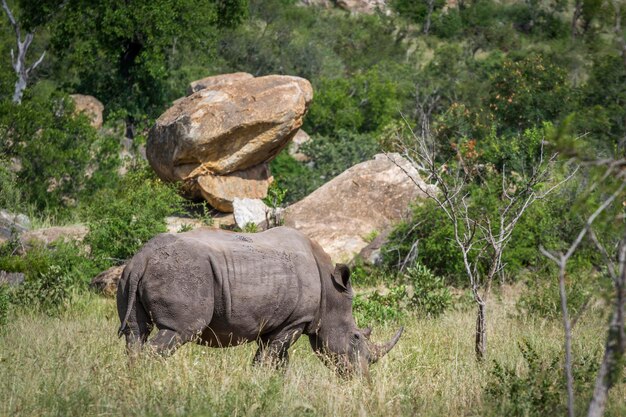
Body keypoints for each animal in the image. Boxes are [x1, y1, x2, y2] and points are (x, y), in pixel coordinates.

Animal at [116, 226, 400, 376]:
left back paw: (134, 379)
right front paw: (262, 382)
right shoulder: (295, 322)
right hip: (182, 273)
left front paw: (267, 383)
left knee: (135, 333)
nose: (363, 378)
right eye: (356, 337)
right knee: (179, 330)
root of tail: (142, 258)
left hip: (129, 275)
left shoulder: (276, 321)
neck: (331, 296)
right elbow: (271, 357)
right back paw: (151, 379)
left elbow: (274, 359)